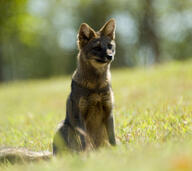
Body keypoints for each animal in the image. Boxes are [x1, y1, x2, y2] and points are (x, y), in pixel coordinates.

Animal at [0, 18, 116, 164]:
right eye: (97, 48)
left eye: (110, 46)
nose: (110, 56)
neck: (95, 86)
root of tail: (53, 154)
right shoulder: (79, 116)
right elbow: (84, 141)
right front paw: (87, 157)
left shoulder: (109, 112)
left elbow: (113, 139)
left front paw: (118, 152)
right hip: (64, 126)